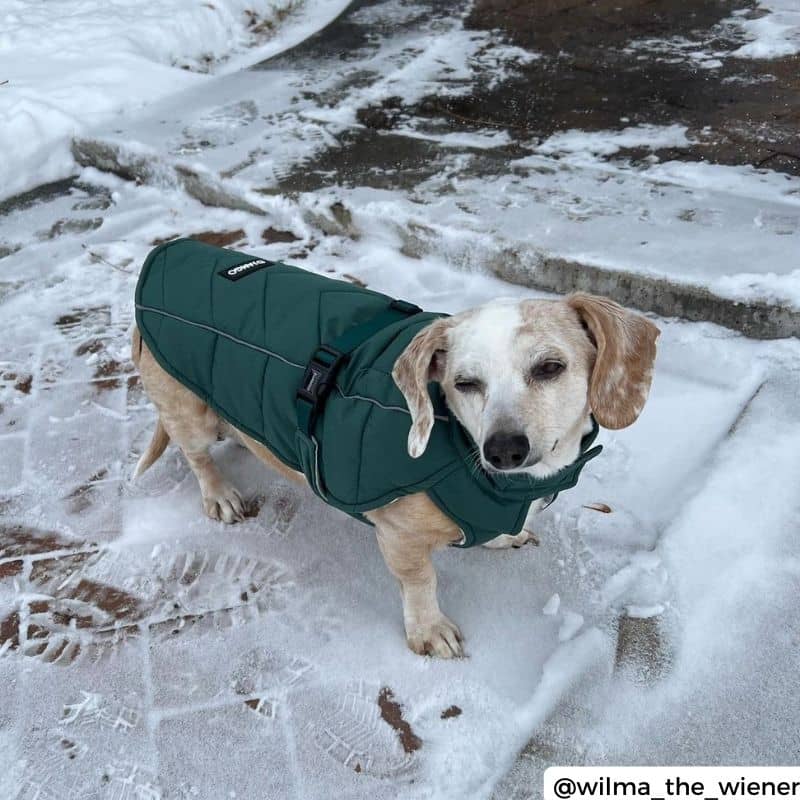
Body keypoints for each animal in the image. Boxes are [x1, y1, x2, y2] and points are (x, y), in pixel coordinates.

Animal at [130, 284, 656, 660]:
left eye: (550, 368)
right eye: (464, 383)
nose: (503, 450)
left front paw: (505, 536)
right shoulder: (400, 535)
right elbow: (421, 583)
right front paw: (429, 631)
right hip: (190, 416)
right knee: (197, 455)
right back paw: (219, 494)